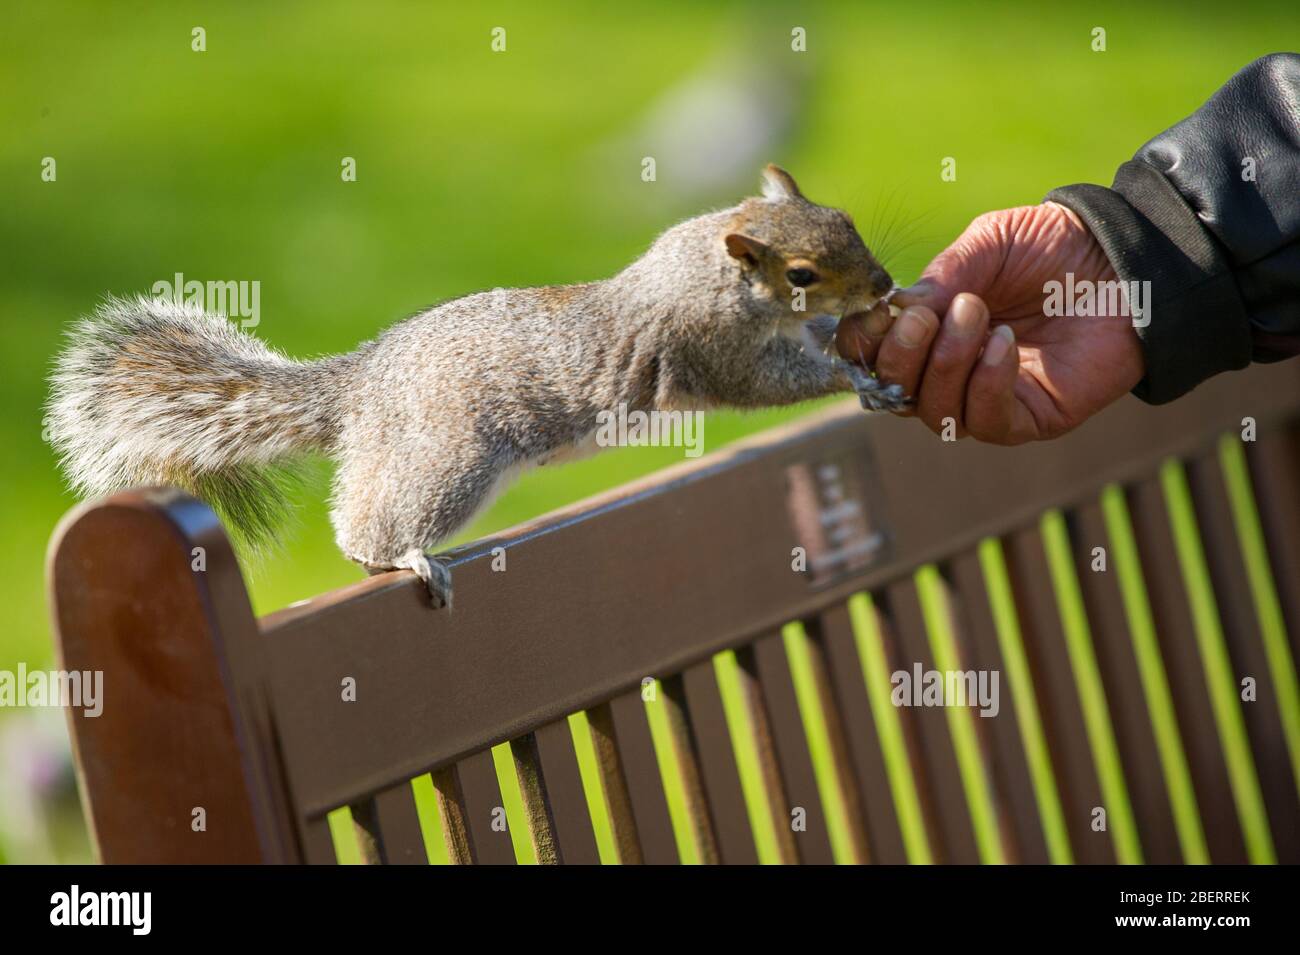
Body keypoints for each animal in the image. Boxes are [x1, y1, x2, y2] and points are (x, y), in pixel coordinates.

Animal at [48, 165, 904, 608]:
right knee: (370, 522)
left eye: (845, 216)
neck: (710, 270)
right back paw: (401, 557)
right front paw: (860, 379)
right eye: (802, 273)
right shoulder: (715, 348)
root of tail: (363, 385)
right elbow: (773, 381)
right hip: (450, 458)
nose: (885, 283)